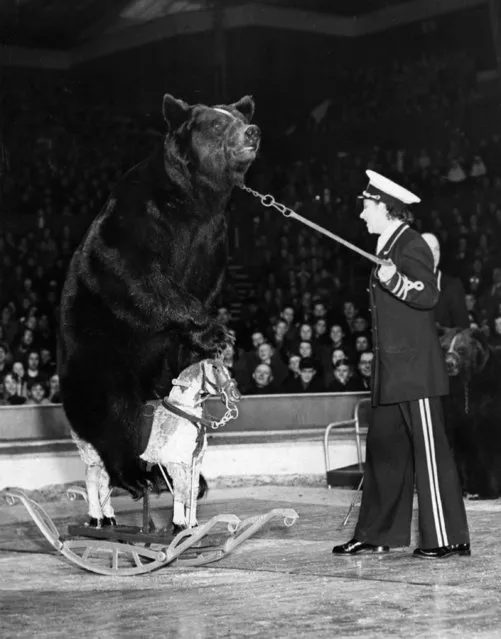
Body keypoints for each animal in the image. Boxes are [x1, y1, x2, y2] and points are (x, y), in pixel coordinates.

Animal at [59, 92, 258, 498]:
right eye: (218, 123)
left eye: (240, 116)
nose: (252, 132)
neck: (193, 198)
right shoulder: (138, 218)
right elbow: (134, 272)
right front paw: (217, 333)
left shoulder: (212, 238)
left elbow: (206, 282)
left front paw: (212, 340)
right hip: (98, 350)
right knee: (112, 407)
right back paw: (134, 474)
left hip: (162, 365)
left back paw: (184, 477)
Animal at [440, 330, 500, 500]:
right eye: (444, 348)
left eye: (461, 350)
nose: (449, 363)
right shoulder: (455, 408)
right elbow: (460, 446)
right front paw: (464, 489)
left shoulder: (488, 399)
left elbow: (489, 442)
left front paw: (490, 491)